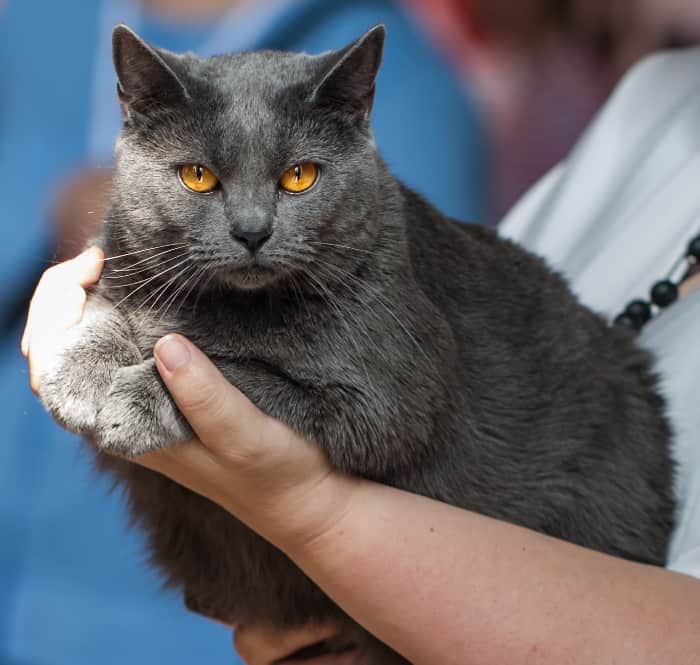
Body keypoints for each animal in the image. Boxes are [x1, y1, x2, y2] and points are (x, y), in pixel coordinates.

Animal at [39, 24, 680, 664]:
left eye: (299, 176)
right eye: (197, 176)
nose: (252, 231)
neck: (224, 305)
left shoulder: (389, 400)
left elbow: (236, 368)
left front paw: (134, 402)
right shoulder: (120, 261)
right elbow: (105, 307)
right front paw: (77, 376)